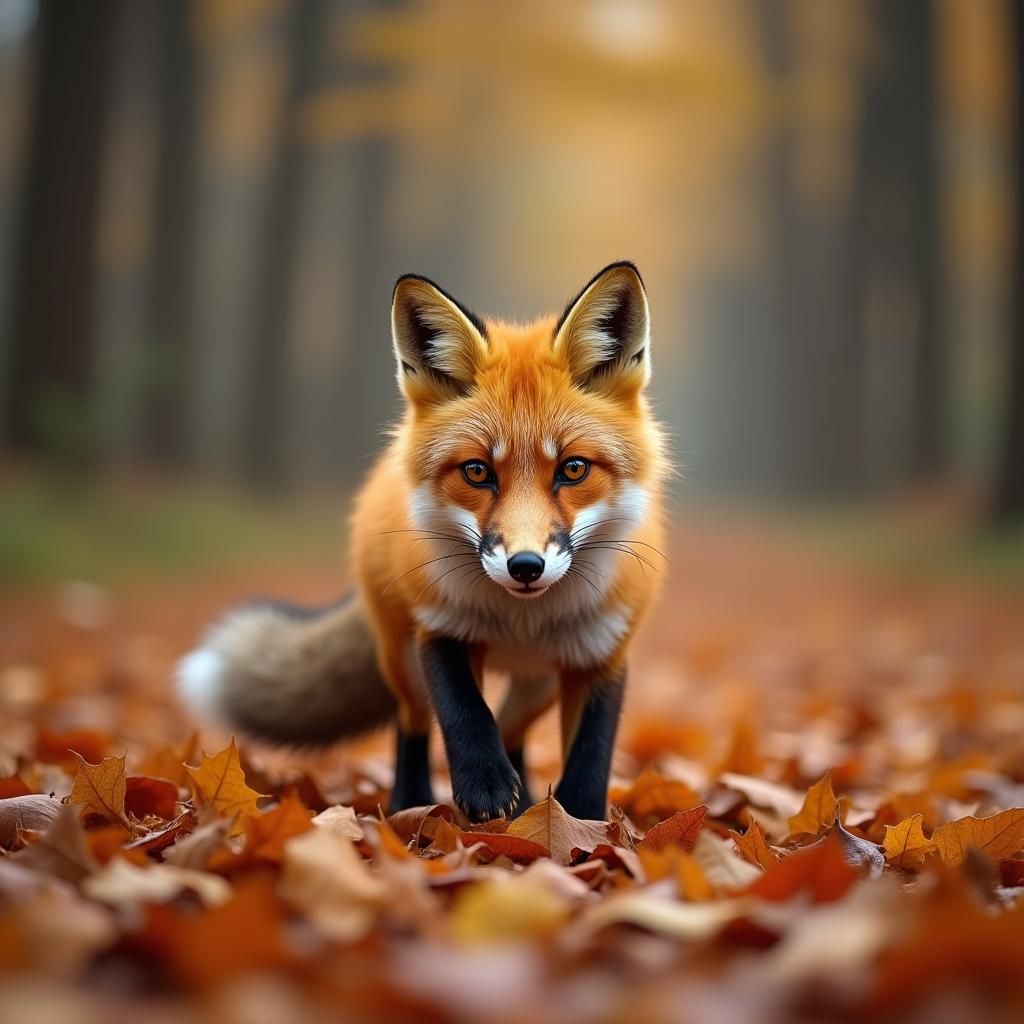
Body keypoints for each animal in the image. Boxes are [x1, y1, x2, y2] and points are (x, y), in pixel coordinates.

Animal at [178, 261, 667, 823]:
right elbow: (464, 713)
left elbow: (592, 753)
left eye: (573, 469)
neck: (521, 620)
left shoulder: (602, 652)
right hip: (402, 659)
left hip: (539, 682)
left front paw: (578, 821)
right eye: (477, 471)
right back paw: (410, 802)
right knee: (413, 721)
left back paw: (526, 806)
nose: (525, 566)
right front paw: (485, 787)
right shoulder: (440, 626)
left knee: (512, 725)